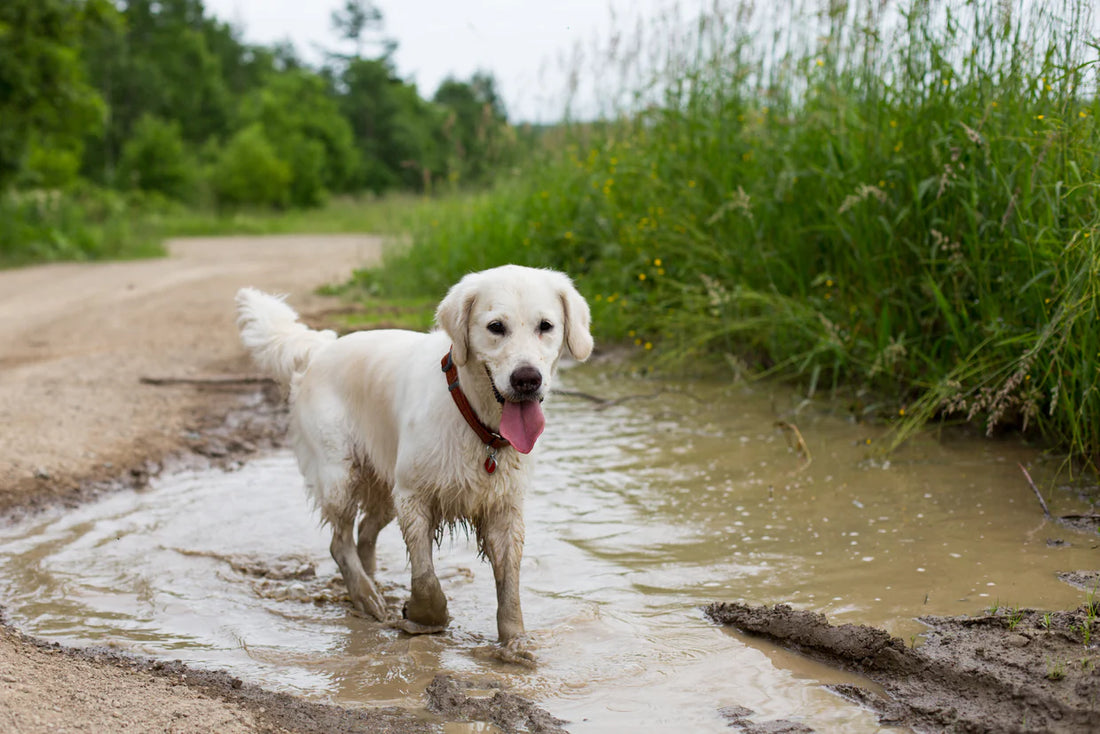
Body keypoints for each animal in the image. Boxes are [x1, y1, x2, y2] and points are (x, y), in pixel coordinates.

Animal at [233, 265, 594, 655]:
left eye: (546, 325)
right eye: (496, 326)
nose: (527, 379)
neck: (475, 417)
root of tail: (321, 348)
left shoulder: (503, 506)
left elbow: (509, 584)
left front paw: (515, 643)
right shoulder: (413, 496)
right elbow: (424, 575)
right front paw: (424, 617)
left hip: (383, 485)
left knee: (364, 533)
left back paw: (373, 584)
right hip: (339, 473)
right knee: (339, 541)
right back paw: (367, 597)